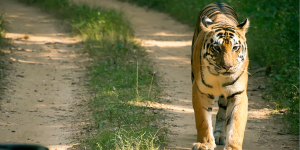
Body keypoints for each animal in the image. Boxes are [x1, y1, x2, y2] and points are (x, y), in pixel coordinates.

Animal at [191, 2, 250, 150]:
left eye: (235, 48)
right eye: (216, 48)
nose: (227, 67)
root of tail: (218, 2)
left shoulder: (238, 93)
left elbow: (236, 124)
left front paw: (233, 147)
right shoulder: (200, 91)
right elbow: (203, 120)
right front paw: (204, 143)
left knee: (222, 112)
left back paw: (219, 135)